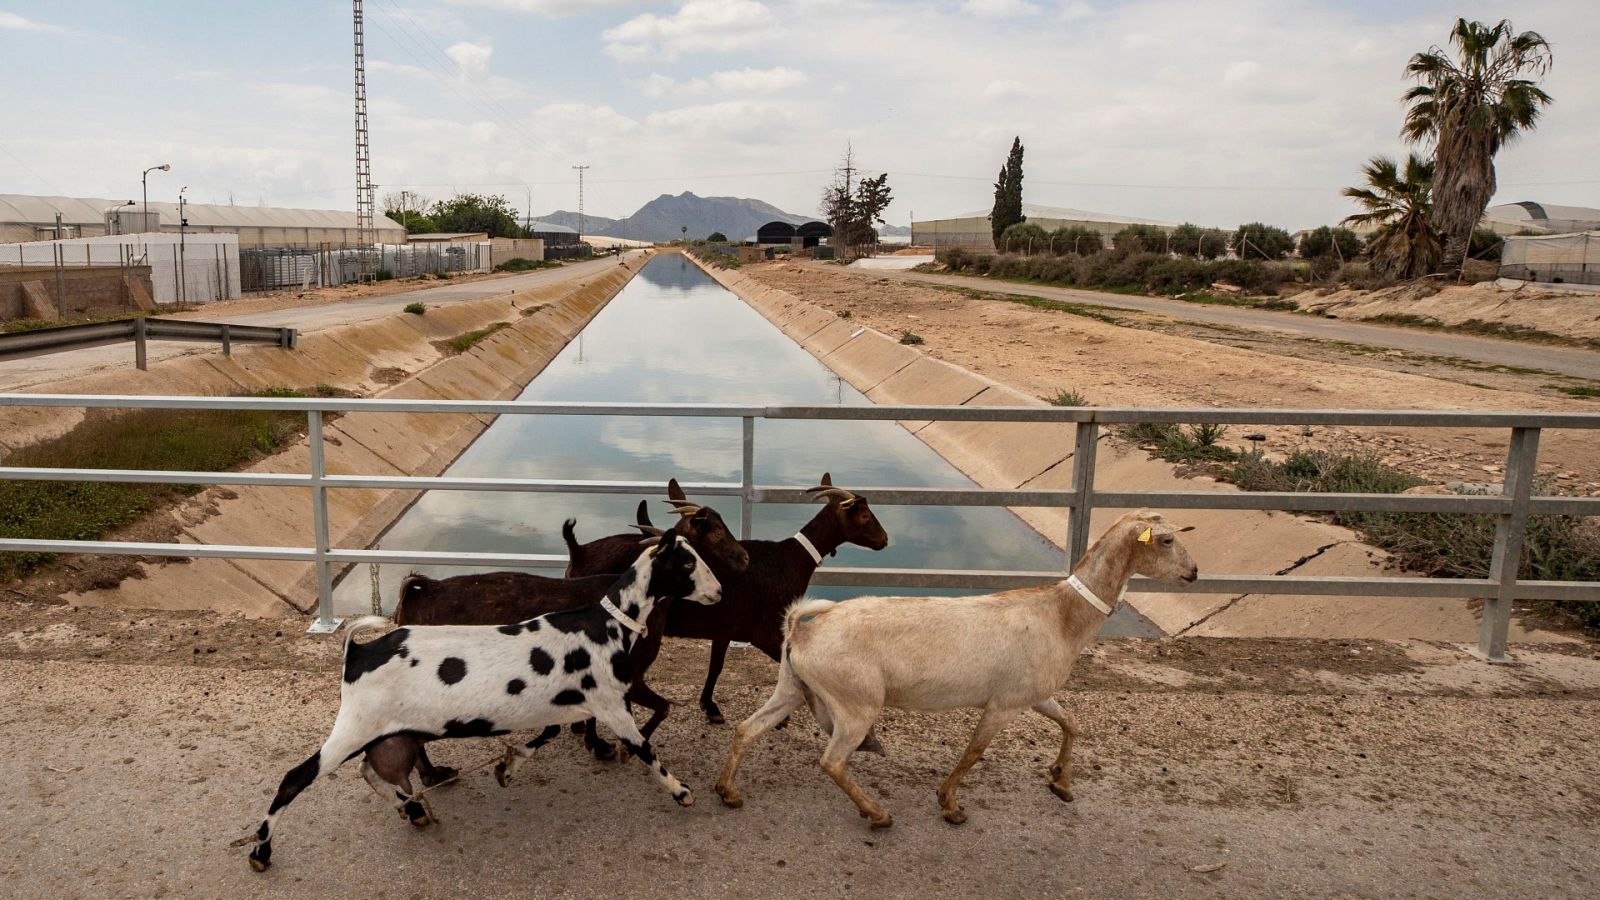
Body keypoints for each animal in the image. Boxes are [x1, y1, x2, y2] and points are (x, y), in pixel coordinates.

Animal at [241, 528, 720, 864]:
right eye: (687, 561)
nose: (718, 592)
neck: (605, 624)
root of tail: (356, 653)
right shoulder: (610, 703)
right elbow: (645, 750)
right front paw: (681, 791)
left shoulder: (560, 703)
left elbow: (547, 735)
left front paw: (508, 765)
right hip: (355, 725)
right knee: (296, 778)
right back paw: (261, 851)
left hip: (383, 731)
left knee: (374, 771)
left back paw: (414, 810)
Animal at [563, 474, 889, 723]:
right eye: (863, 513)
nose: (884, 540)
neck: (790, 560)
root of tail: (577, 551)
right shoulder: (762, 631)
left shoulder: (725, 627)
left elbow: (716, 666)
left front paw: (710, 707)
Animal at [720, 509, 1196, 826]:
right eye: (1167, 540)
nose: (1193, 572)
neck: (1060, 615)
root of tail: (801, 632)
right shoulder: (1004, 703)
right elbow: (974, 751)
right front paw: (949, 804)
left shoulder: (1033, 693)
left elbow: (1072, 722)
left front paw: (1061, 782)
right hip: (856, 702)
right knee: (832, 761)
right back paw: (877, 813)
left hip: (792, 686)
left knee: (748, 728)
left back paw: (728, 791)